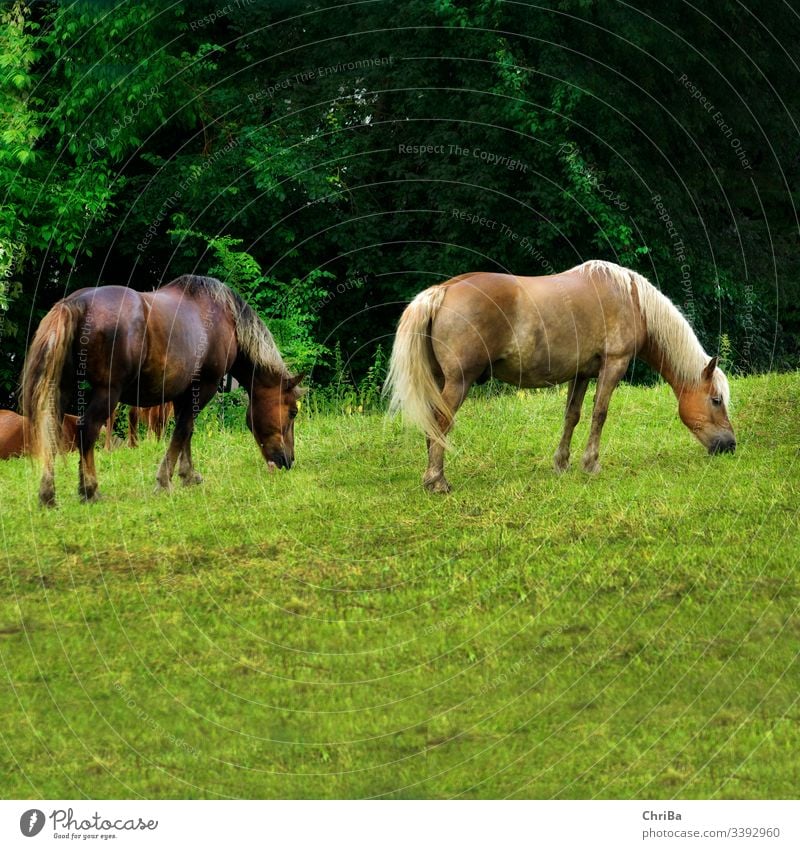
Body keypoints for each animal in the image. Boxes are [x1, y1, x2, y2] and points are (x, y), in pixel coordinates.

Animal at [22, 274, 304, 506]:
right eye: (293, 412)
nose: (289, 461)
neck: (224, 317)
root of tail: (75, 304)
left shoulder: (184, 392)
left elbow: (186, 432)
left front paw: (188, 474)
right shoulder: (205, 386)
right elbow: (182, 430)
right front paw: (165, 480)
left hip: (63, 388)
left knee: (50, 429)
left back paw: (48, 494)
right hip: (107, 393)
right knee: (87, 430)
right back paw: (89, 489)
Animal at [384, 262, 736, 494]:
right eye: (716, 400)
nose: (730, 445)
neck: (631, 299)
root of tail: (443, 290)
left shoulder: (581, 373)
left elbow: (572, 416)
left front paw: (562, 464)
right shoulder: (613, 365)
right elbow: (600, 413)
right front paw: (590, 464)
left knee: (433, 424)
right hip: (459, 382)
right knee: (441, 422)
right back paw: (437, 481)